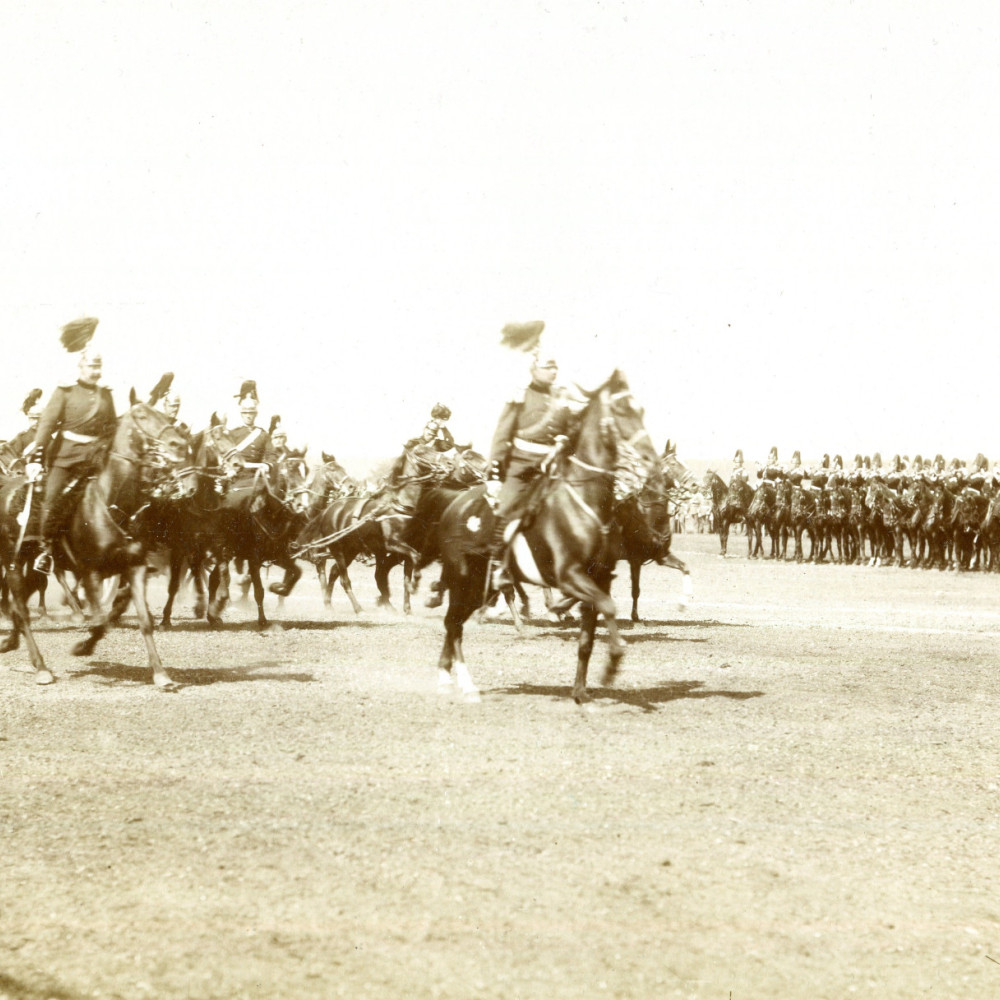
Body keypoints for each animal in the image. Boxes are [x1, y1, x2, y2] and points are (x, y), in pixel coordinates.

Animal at [434, 368, 660, 704]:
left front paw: (580, 692)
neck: (583, 502)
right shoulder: (570, 575)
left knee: (456, 624)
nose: (650, 460)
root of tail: (454, 505)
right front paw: (613, 663)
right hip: (462, 579)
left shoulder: (599, 578)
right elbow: (608, 607)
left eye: (641, 410)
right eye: (621, 410)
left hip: (478, 586)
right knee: (453, 623)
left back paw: (451, 677)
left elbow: (587, 639)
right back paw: (459, 682)